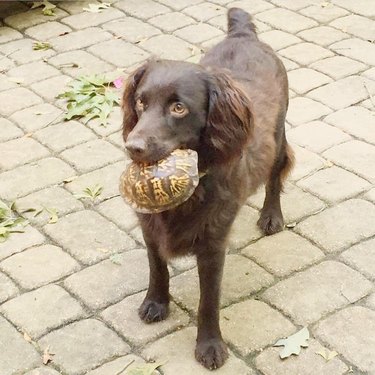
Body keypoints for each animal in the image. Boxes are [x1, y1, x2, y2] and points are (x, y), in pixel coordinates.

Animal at [122, 7, 296, 372]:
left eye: (178, 107)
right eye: (141, 103)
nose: (134, 148)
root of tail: (243, 35)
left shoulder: (214, 243)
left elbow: (208, 300)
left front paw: (210, 345)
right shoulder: (149, 227)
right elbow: (157, 267)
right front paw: (156, 303)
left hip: (278, 136)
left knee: (275, 176)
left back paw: (271, 216)